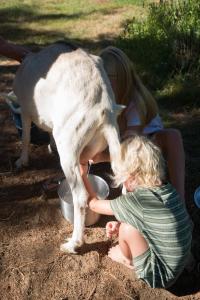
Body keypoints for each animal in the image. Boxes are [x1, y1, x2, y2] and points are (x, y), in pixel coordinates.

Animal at [12, 41, 122, 253]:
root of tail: (104, 108)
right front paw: (49, 147)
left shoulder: (26, 110)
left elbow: (26, 137)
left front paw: (22, 161)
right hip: (102, 147)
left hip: (69, 146)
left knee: (80, 196)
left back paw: (73, 244)